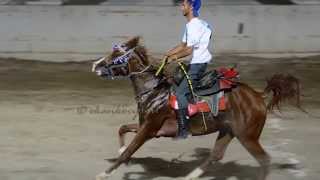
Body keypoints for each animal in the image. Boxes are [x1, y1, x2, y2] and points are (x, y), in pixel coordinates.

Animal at [92, 37, 300, 180]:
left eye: (116, 56)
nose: (96, 65)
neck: (155, 91)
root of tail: (257, 96)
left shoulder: (150, 128)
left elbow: (129, 150)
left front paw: (104, 173)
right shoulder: (148, 126)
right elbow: (123, 129)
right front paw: (120, 151)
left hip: (247, 136)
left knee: (264, 160)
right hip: (228, 131)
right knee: (216, 155)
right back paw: (190, 176)